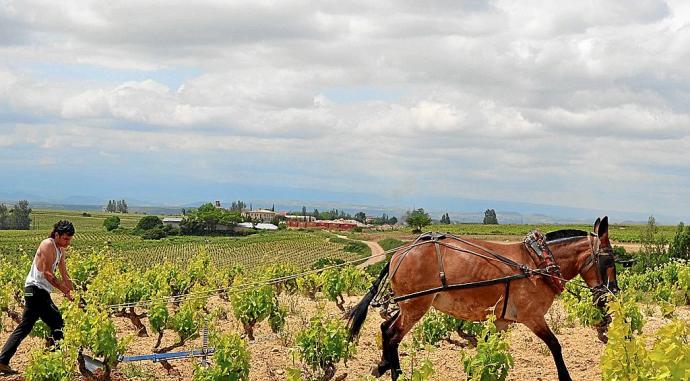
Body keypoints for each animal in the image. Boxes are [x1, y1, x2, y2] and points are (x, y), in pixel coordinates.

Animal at [346, 217, 616, 380]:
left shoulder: (501, 321)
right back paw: (396, 372)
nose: (611, 293)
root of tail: (401, 252)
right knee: (393, 335)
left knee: (385, 327)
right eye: (609, 260)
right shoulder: (533, 317)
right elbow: (555, 345)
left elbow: (488, 349)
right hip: (416, 305)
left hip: (408, 305)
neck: (538, 263)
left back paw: (383, 365)